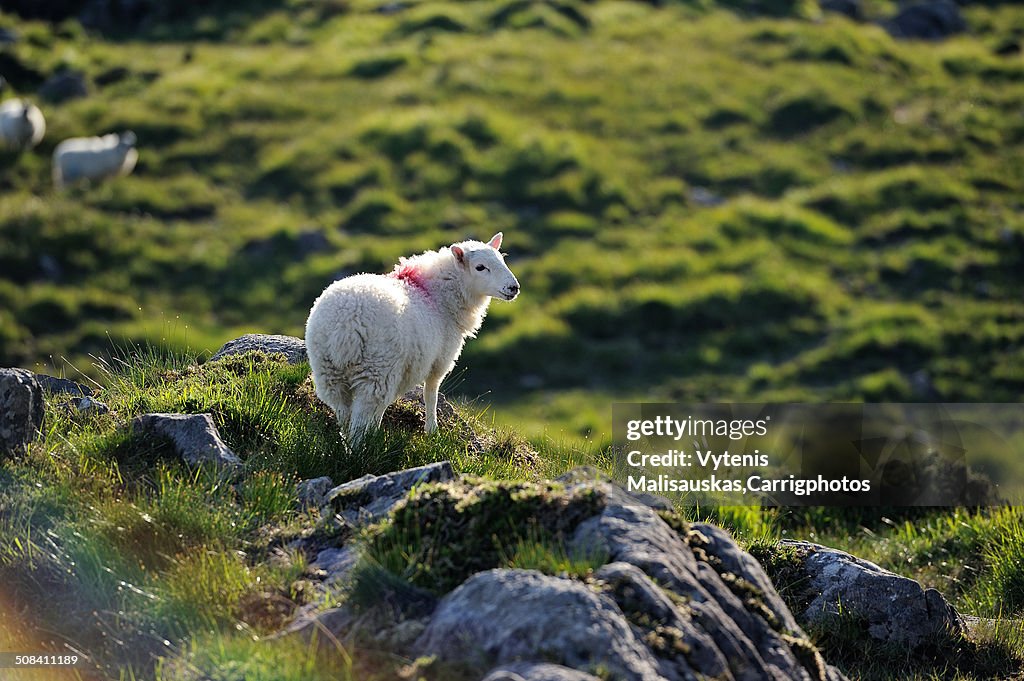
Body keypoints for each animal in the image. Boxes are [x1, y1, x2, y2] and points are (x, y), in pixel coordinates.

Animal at [303, 233, 520, 444]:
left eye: (502, 260)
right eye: (480, 267)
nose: (513, 288)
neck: (436, 295)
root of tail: (346, 324)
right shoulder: (438, 361)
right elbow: (430, 394)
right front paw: (432, 430)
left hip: (328, 371)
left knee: (344, 412)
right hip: (376, 369)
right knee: (361, 417)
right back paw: (361, 447)